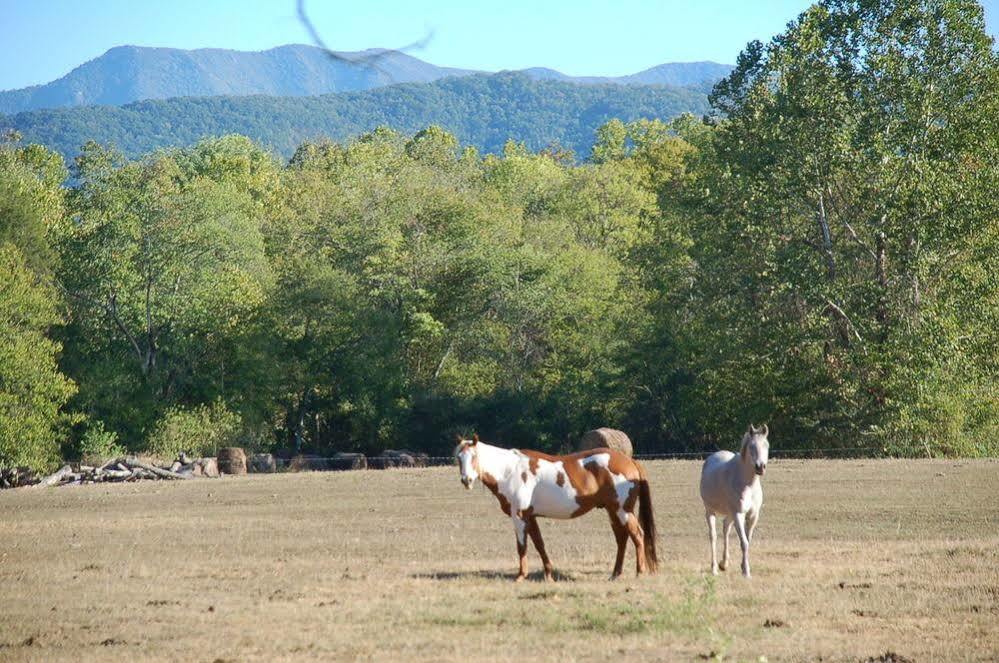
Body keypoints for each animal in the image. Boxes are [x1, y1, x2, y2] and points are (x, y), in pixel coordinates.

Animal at [454, 436, 656, 580]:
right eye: (458, 458)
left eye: (474, 457)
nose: (466, 480)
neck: (510, 471)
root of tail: (630, 462)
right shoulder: (530, 516)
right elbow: (539, 544)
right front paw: (548, 574)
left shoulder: (519, 516)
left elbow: (522, 546)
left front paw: (520, 576)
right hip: (612, 511)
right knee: (622, 539)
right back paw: (615, 574)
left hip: (623, 511)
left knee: (637, 535)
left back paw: (639, 572)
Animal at [700, 426, 768, 576]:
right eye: (751, 446)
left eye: (766, 445)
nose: (760, 467)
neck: (747, 484)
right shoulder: (738, 514)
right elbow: (744, 542)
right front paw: (746, 572)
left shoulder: (753, 516)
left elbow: (748, 540)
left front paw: (743, 567)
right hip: (710, 511)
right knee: (713, 536)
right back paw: (714, 568)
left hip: (729, 513)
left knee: (725, 528)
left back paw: (724, 564)